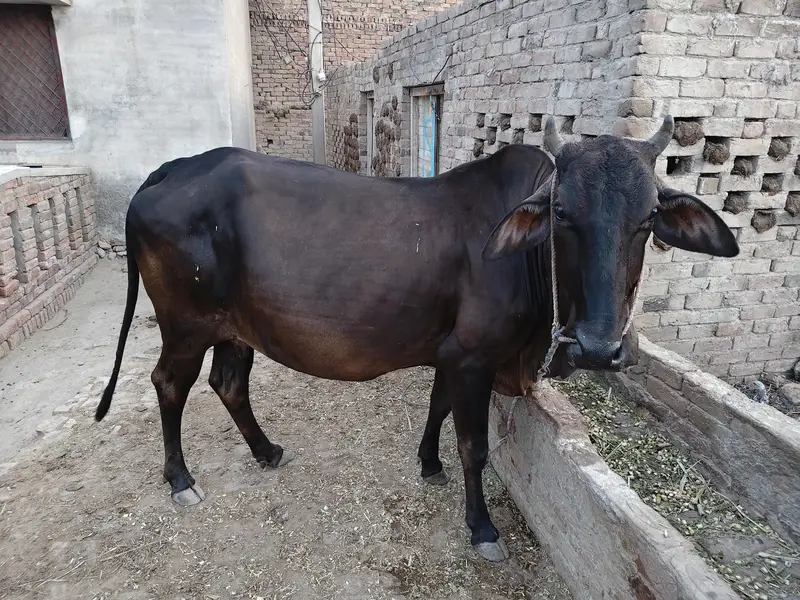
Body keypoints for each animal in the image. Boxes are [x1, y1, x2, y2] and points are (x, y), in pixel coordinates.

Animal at [95, 115, 738, 562]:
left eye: (648, 219)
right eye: (562, 214)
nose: (599, 349)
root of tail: (173, 167)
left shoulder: (451, 354)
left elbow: (437, 406)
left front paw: (428, 462)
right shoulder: (473, 358)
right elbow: (474, 446)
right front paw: (481, 528)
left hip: (236, 329)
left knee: (228, 383)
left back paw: (266, 451)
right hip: (186, 326)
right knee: (168, 384)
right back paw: (182, 480)